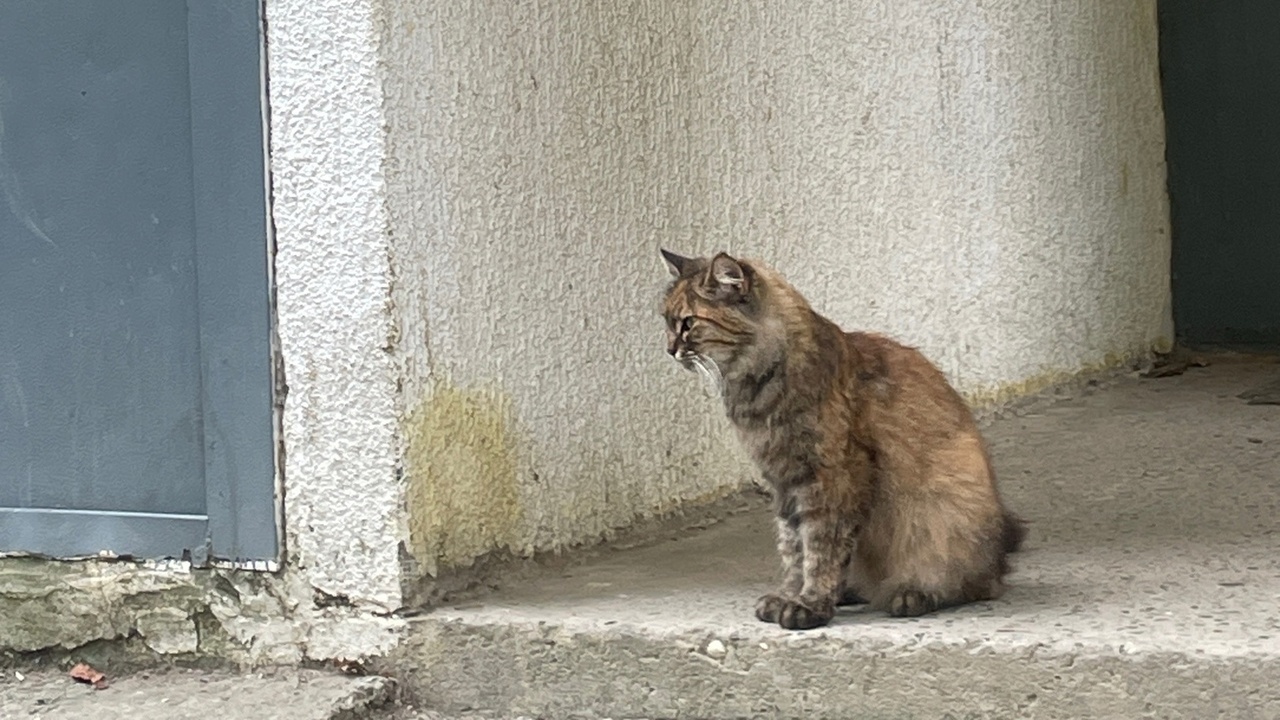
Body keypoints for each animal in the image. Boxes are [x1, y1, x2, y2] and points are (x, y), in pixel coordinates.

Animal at [665, 249, 1024, 625]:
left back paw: (913, 594)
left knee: (974, 583)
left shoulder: (832, 478)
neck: (758, 388)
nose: (669, 349)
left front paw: (809, 604)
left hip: (946, 509)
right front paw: (791, 595)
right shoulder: (783, 481)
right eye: (667, 321)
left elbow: (820, 548)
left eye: (688, 323)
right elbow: (794, 548)